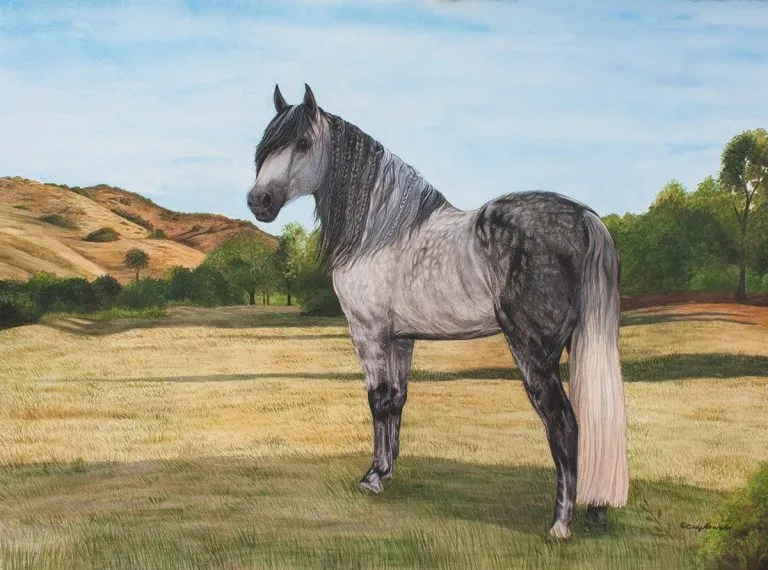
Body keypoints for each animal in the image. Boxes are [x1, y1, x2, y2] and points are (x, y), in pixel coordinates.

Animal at [246, 84, 628, 540]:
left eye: (302, 143)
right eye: (264, 148)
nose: (258, 202)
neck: (381, 232)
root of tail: (584, 218)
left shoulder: (369, 334)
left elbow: (377, 400)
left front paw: (371, 478)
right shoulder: (401, 338)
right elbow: (396, 400)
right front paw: (387, 472)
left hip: (533, 351)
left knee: (564, 423)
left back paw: (560, 523)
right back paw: (596, 510)